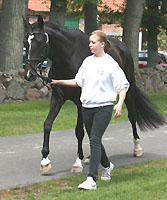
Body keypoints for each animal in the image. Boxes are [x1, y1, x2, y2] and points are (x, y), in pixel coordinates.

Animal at [23, 16, 166, 173]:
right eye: (25, 42)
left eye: (40, 42)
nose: (29, 74)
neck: (69, 57)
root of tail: (123, 47)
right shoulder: (58, 98)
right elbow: (48, 124)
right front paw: (45, 161)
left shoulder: (81, 102)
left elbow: (79, 131)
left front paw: (77, 162)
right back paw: (91, 156)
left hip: (128, 91)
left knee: (132, 116)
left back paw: (137, 148)